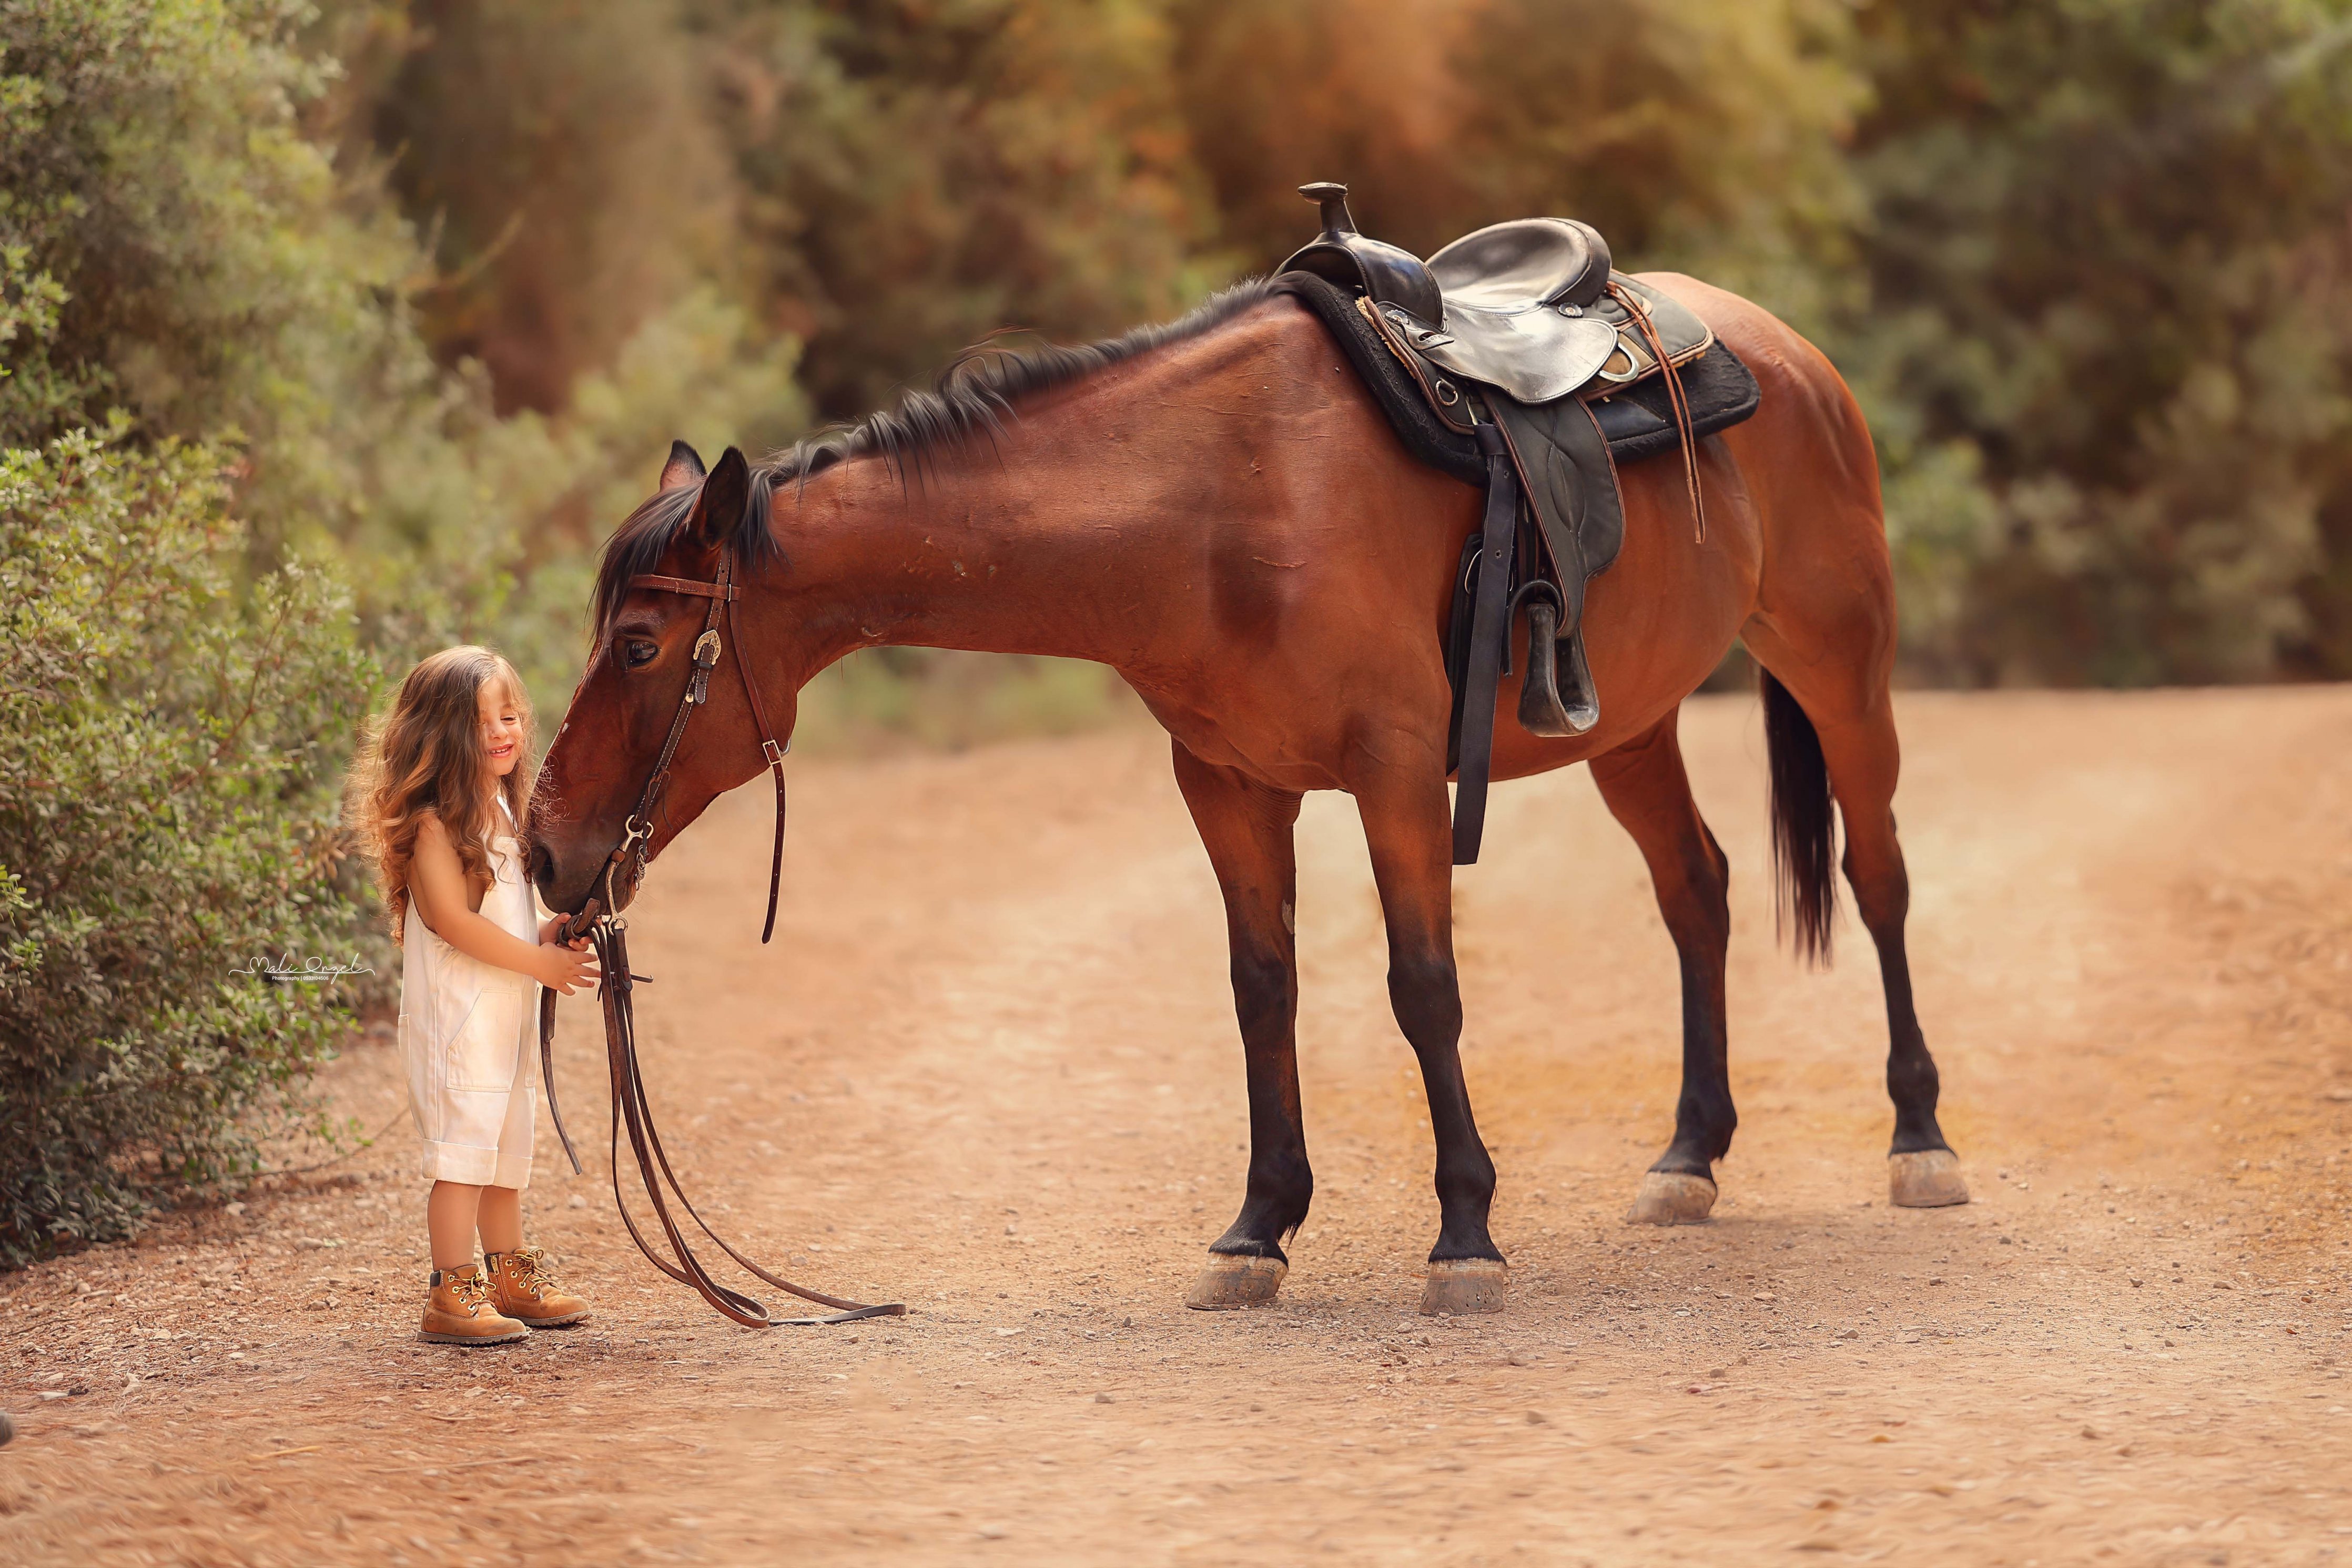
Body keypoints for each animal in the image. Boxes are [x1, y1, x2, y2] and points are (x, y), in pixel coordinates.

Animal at [529, 276, 1966, 1316]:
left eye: (641, 648)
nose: (544, 850)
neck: (1221, 503)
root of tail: (1782, 348)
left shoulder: (1395, 771)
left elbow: (1420, 991)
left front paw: (1463, 1230)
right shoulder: (1227, 787)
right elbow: (1259, 989)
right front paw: (1258, 1227)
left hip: (1840, 668)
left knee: (1879, 877)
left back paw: (1918, 1139)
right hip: (1632, 723)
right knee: (1695, 891)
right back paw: (1687, 1158)